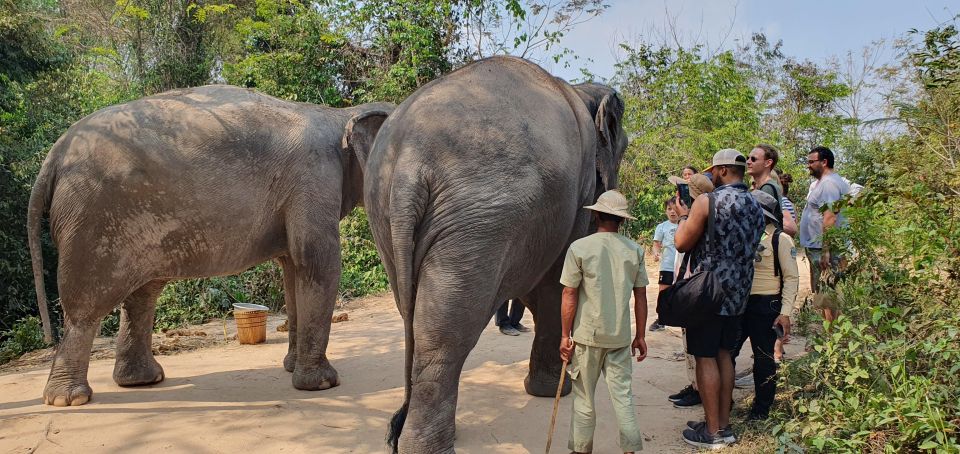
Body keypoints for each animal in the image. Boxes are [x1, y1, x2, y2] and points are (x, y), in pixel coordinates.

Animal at [27, 83, 394, 406]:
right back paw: (68, 399)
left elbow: (292, 268)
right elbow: (317, 261)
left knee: (143, 293)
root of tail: (54, 155)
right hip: (91, 221)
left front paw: (291, 367)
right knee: (86, 306)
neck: (340, 114)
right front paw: (322, 384)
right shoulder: (314, 177)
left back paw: (142, 380)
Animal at [362, 55, 632, 452]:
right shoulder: (576, 198)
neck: (581, 90)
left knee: (414, 314)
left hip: (386, 212)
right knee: (447, 332)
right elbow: (554, 287)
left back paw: (405, 431)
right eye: (624, 149)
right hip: (478, 221)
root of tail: (409, 162)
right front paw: (552, 390)